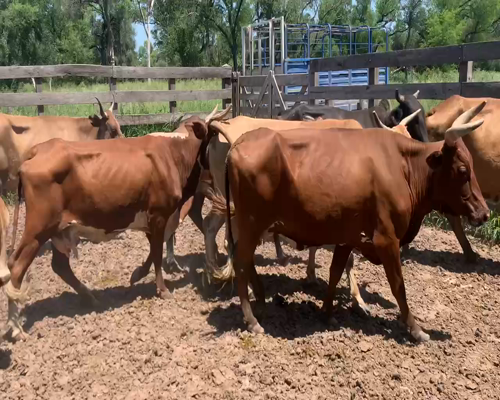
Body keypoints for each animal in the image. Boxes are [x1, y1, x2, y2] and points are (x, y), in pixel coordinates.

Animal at [3, 104, 227, 340]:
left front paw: (138, 274)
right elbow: (157, 252)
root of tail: (37, 151)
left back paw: (89, 296)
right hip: (39, 229)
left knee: (60, 266)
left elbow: (154, 249)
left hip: (60, 229)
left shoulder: (157, 218)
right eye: (213, 134)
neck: (174, 155)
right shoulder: (159, 215)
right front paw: (162, 289)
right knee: (16, 267)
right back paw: (15, 327)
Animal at [224, 102, 488, 340]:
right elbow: (398, 285)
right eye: (463, 170)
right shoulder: (386, 239)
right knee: (240, 261)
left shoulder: (347, 237)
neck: (402, 167)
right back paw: (252, 320)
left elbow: (335, 271)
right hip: (252, 222)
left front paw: (328, 313)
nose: (484, 213)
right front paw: (416, 329)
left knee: (246, 261)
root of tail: (240, 142)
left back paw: (261, 301)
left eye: (473, 166)